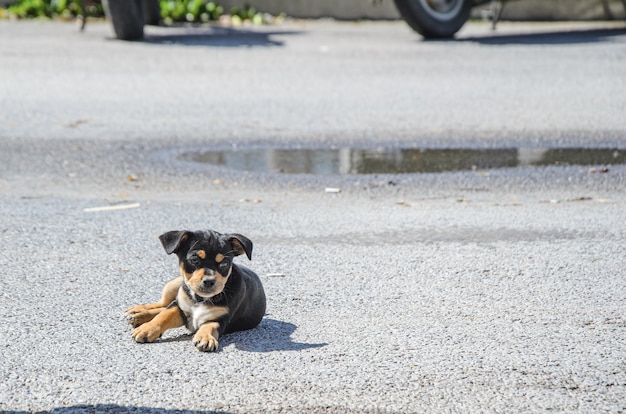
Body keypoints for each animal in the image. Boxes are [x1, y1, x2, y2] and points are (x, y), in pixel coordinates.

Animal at [125, 230, 264, 352]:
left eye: (224, 264)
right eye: (194, 260)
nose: (209, 281)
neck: (200, 299)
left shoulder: (221, 319)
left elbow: (210, 326)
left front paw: (206, 338)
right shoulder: (180, 308)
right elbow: (164, 315)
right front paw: (147, 329)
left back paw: (137, 316)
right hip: (174, 284)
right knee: (163, 304)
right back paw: (138, 311)